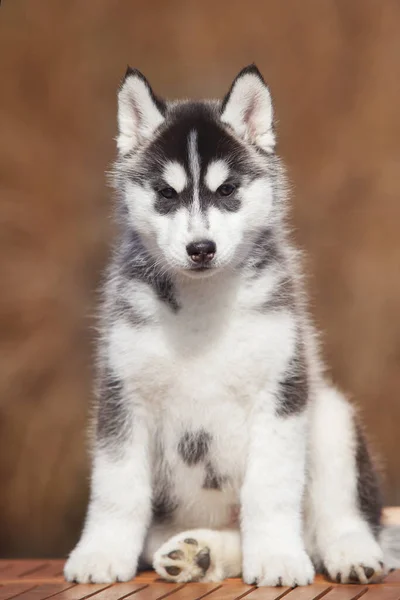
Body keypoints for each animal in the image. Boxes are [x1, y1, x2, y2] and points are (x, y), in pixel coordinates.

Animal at [65, 65, 394, 584]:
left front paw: (277, 556)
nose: (201, 248)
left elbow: (270, 490)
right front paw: (101, 553)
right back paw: (198, 552)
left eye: (226, 191)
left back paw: (350, 552)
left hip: (331, 416)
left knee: (337, 517)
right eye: (166, 193)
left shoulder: (282, 392)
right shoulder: (121, 395)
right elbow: (117, 488)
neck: (203, 308)